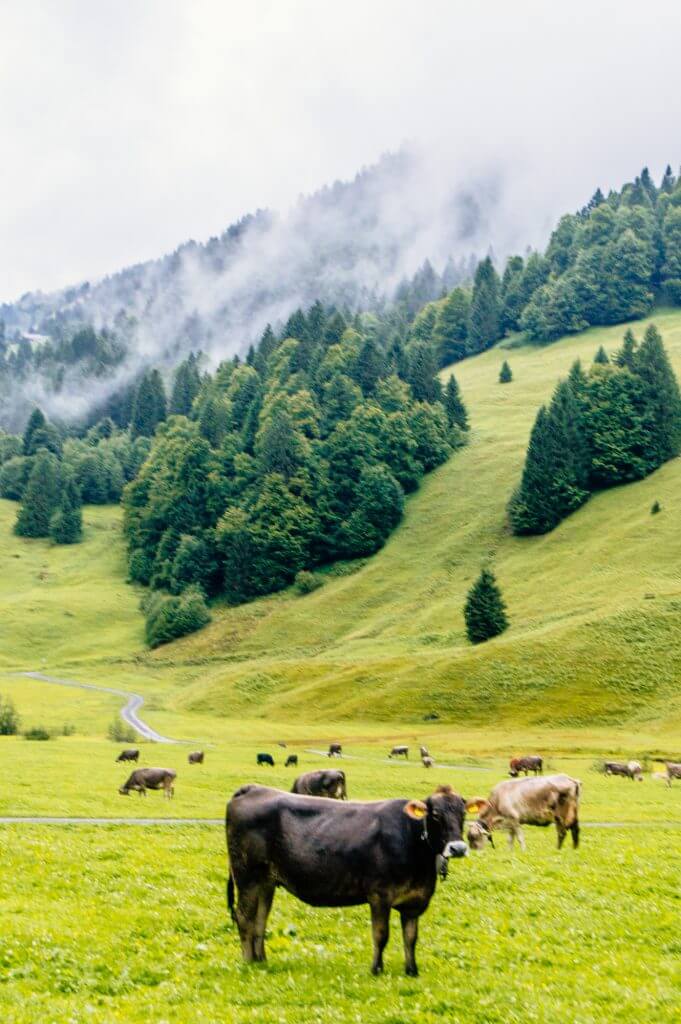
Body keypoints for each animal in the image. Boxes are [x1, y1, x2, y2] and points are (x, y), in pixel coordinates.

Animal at [225, 782, 475, 974]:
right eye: (436, 815)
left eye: (463, 813)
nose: (458, 848)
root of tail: (253, 788)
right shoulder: (379, 895)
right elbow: (381, 935)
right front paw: (376, 969)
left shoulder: (415, 900)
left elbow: (411, 937)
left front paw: (412, 970)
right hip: (246, 875)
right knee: (244, 917)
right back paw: (248, 962)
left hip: (266, 881)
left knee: (260, 918)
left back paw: (261, 960)